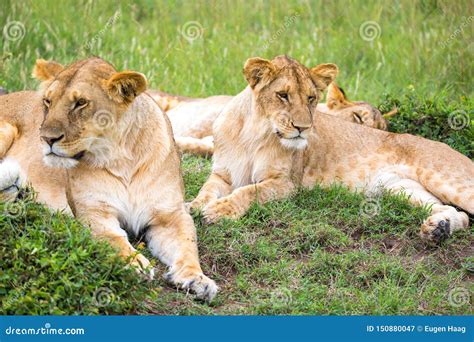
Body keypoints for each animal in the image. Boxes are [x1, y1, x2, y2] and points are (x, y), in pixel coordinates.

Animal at [0, 57, 218, 300]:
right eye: (48, 101)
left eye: (80, 103)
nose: (46, 138)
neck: (121, 159)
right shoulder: (93, 212)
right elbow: (115, 239)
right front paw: (134, 264)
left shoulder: (170, 215)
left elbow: (188, 246)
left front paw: (197, 279)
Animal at [191, 55, 472, 243]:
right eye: (283, 95)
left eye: (311, 98)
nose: (303, 128)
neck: (253, 133)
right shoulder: (223, 174)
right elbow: (206, 190)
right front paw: (193, 207)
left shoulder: (286, 183)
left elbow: (248, 192)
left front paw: (218, 211)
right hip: (401, 188)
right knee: (458, 214)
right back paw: (438, 229)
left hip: (448, 180)